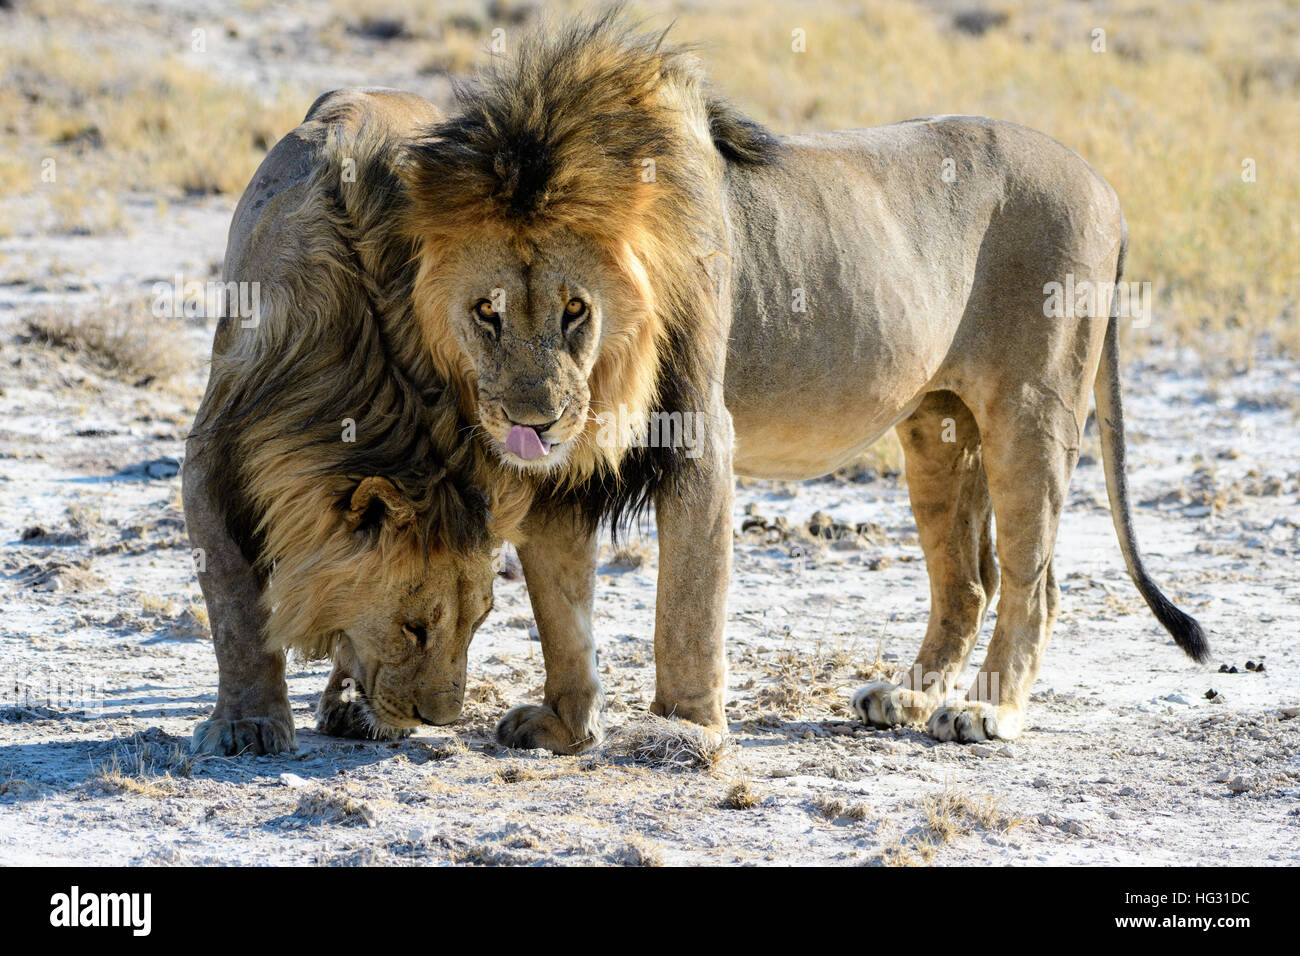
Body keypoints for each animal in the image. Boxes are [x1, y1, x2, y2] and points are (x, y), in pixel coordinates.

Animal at [182, 87, 522, 754]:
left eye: (480, 622)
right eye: (414, 627)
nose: (440, 719)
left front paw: (354, 708)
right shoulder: (215, 449)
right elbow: (234, 600)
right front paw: (247, 723)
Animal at [392, 11, 1206, 749]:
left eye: (575, 310)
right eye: (487, 311)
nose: (533, 422)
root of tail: (1105, 186)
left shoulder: (699, 432)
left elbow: (685, 605)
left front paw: (685, 730)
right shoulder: (560, 469)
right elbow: (561, 610)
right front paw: (564, 726)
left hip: (1032, 410)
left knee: (1035, 581)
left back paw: (987, 711)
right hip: (938, 425)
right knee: (970, 579)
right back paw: (908, 698)